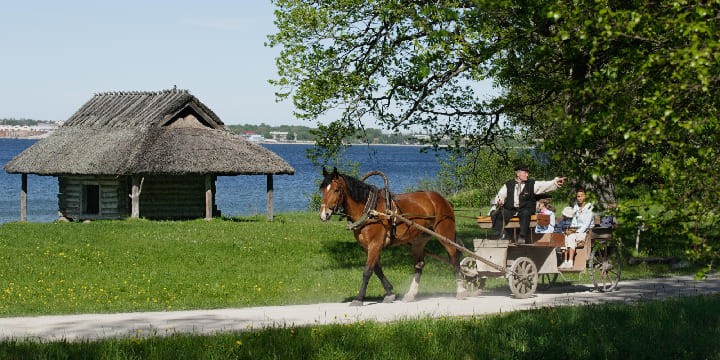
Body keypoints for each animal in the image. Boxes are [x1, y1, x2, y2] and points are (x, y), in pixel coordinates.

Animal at [320, 167, 466, 306]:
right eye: (322, 189)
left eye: (336, 190)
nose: (324, 214)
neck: (369, 210)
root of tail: (442, 199)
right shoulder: (367, 246)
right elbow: (377, 269)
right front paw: (390, 292)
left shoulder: (375, 244)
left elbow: (367, 271)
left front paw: (359, 298)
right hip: (419, 240)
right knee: (419, 265)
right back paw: (411, 294)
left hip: (445, 234)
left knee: (454, 258)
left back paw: (461, 291)